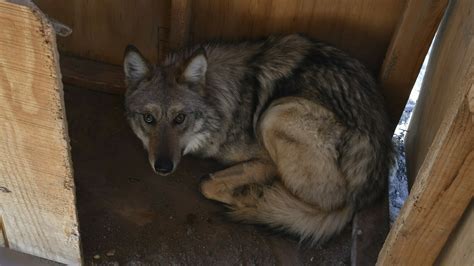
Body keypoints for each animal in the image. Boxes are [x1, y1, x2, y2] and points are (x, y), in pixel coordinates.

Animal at [122, 34, 392, 244]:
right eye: (148, 118)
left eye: (180, 118)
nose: (163, 167)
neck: (223, 100)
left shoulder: (265, 160)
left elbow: (206, 185)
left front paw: (245, 193)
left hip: (276, 114)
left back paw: (256, 198)